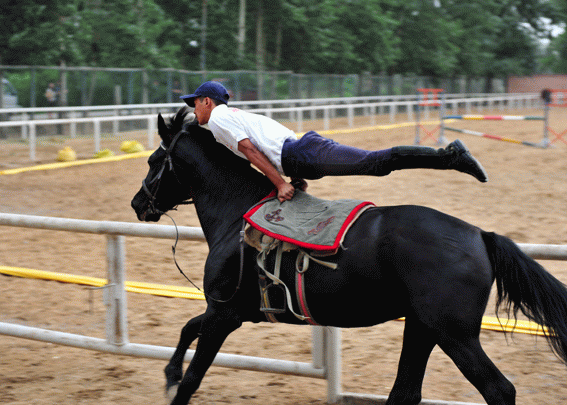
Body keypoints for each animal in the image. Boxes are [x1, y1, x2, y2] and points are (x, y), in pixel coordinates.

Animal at [131, 107, 567, 404]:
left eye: (154, 160)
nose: (138, 204)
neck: (239, 212)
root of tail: (479, 234)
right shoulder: (229, 311)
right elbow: (187, 329)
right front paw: (169, 372)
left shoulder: (225, 315)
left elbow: (193, 375)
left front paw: (176, 378)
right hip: (422, 328)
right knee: (405, 392)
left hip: (454, 335)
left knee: (499, 389)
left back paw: (461, 157)